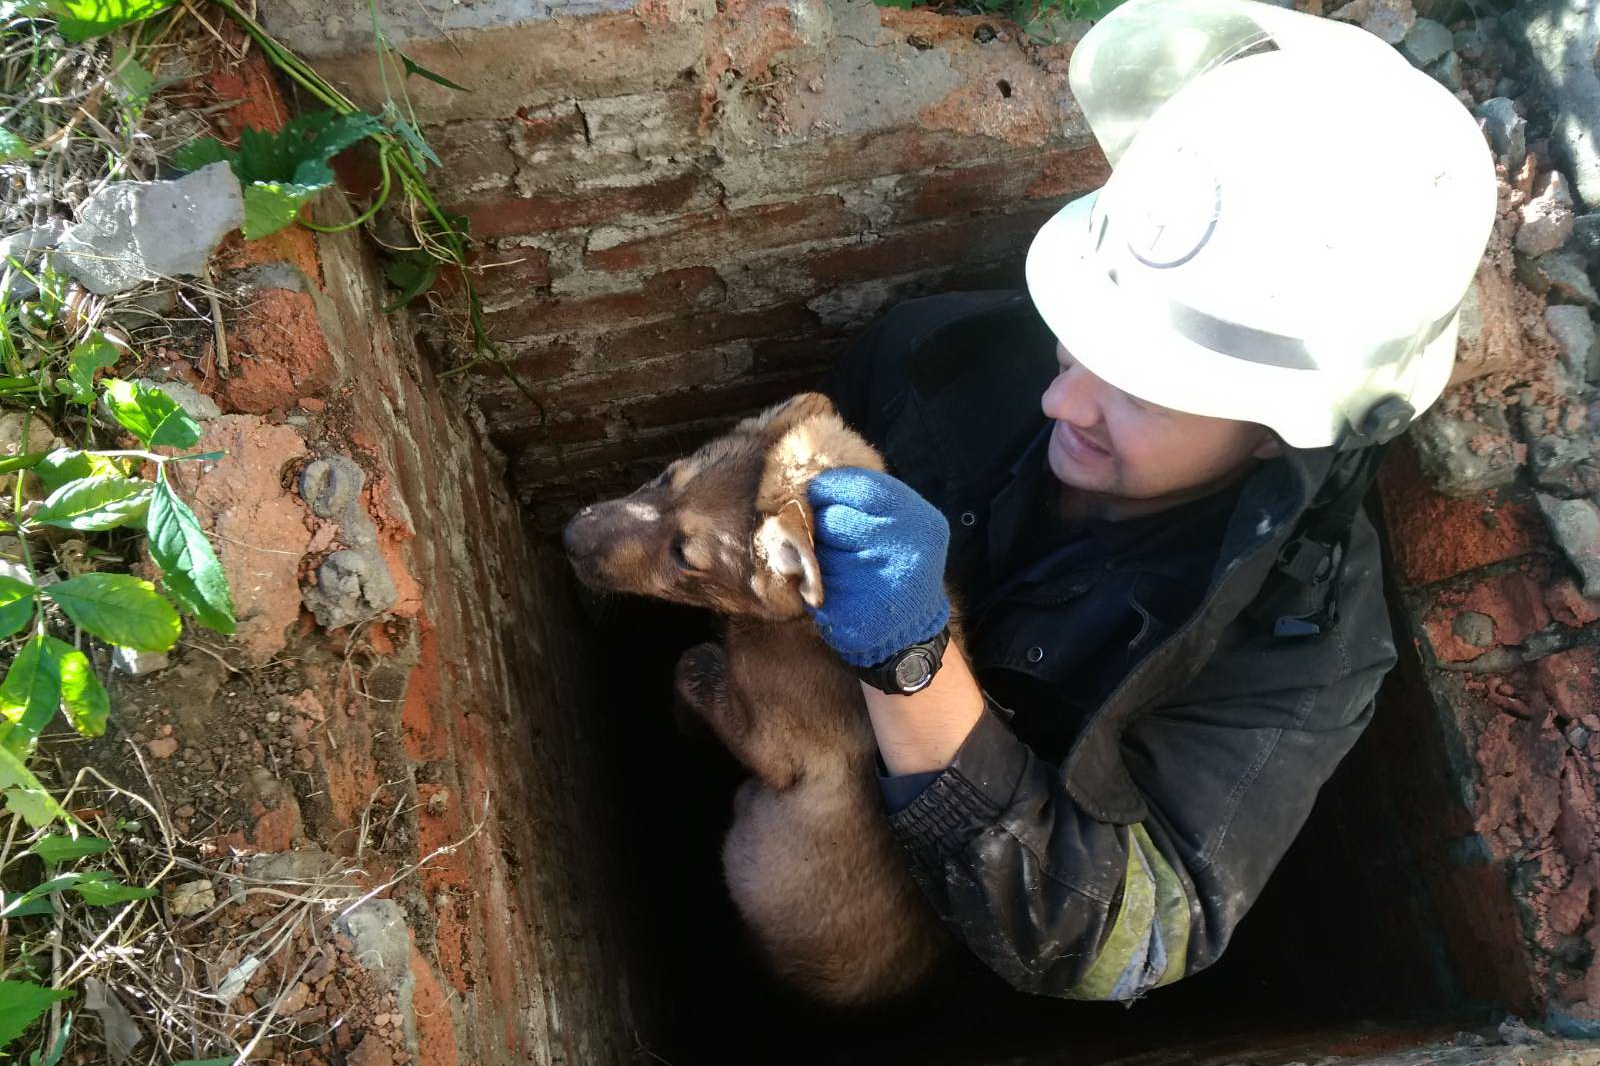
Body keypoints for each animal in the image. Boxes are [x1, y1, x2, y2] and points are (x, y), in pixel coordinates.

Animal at [560, 392, 940, 1005]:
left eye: (684, 555)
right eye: (665, 476)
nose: (569, 536)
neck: (796, 631)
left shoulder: (777, 747)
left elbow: (695, 664)